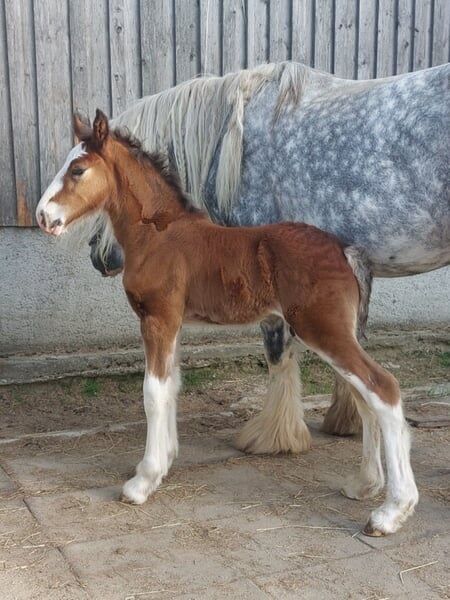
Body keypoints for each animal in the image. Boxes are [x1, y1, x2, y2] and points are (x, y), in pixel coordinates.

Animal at [35, 109, 418, 536]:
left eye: (78, 170)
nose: (43, 217)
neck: (157, 234)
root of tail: (345, 249)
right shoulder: (174, 324)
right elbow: (172, 387)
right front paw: (165, 462)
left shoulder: (157, 318)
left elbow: (153, 393)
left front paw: (142, 482)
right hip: (335, 333)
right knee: (365, 398)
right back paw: (365, 485)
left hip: (323, 330)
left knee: (383, 388)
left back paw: (391, 511)